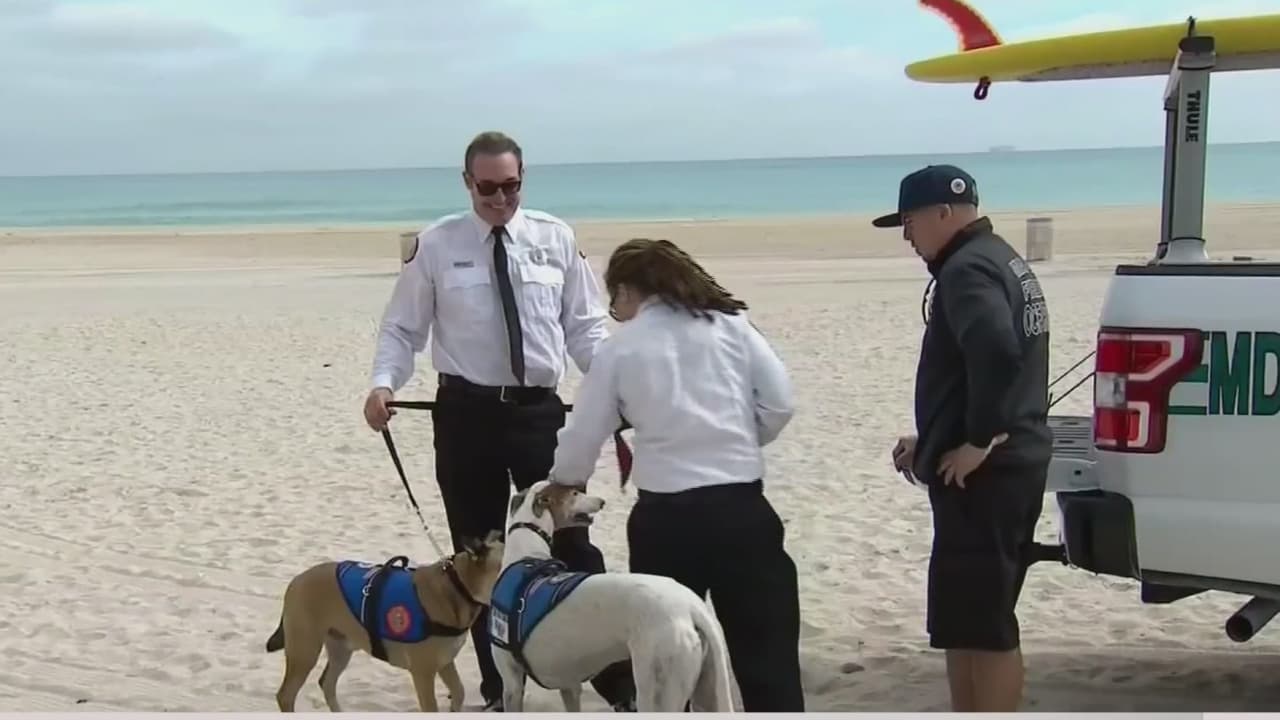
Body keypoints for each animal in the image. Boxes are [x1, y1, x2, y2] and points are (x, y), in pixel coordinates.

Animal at [264, 530, 504, 712]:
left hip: (340, 647)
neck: (457, 586)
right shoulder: (423, 672)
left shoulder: (445, 661)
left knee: (327, 683)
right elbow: (432, 706)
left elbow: (459, 692)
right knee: (286, 695)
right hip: (305, 651)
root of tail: (296, 581)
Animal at [488, 480, 735, 712]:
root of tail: (691, 604)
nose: (601, 501)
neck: (526, 555)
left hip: (657, 686)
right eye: (574, 493)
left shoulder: (511, 684)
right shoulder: (568, 685)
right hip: (707, 689)